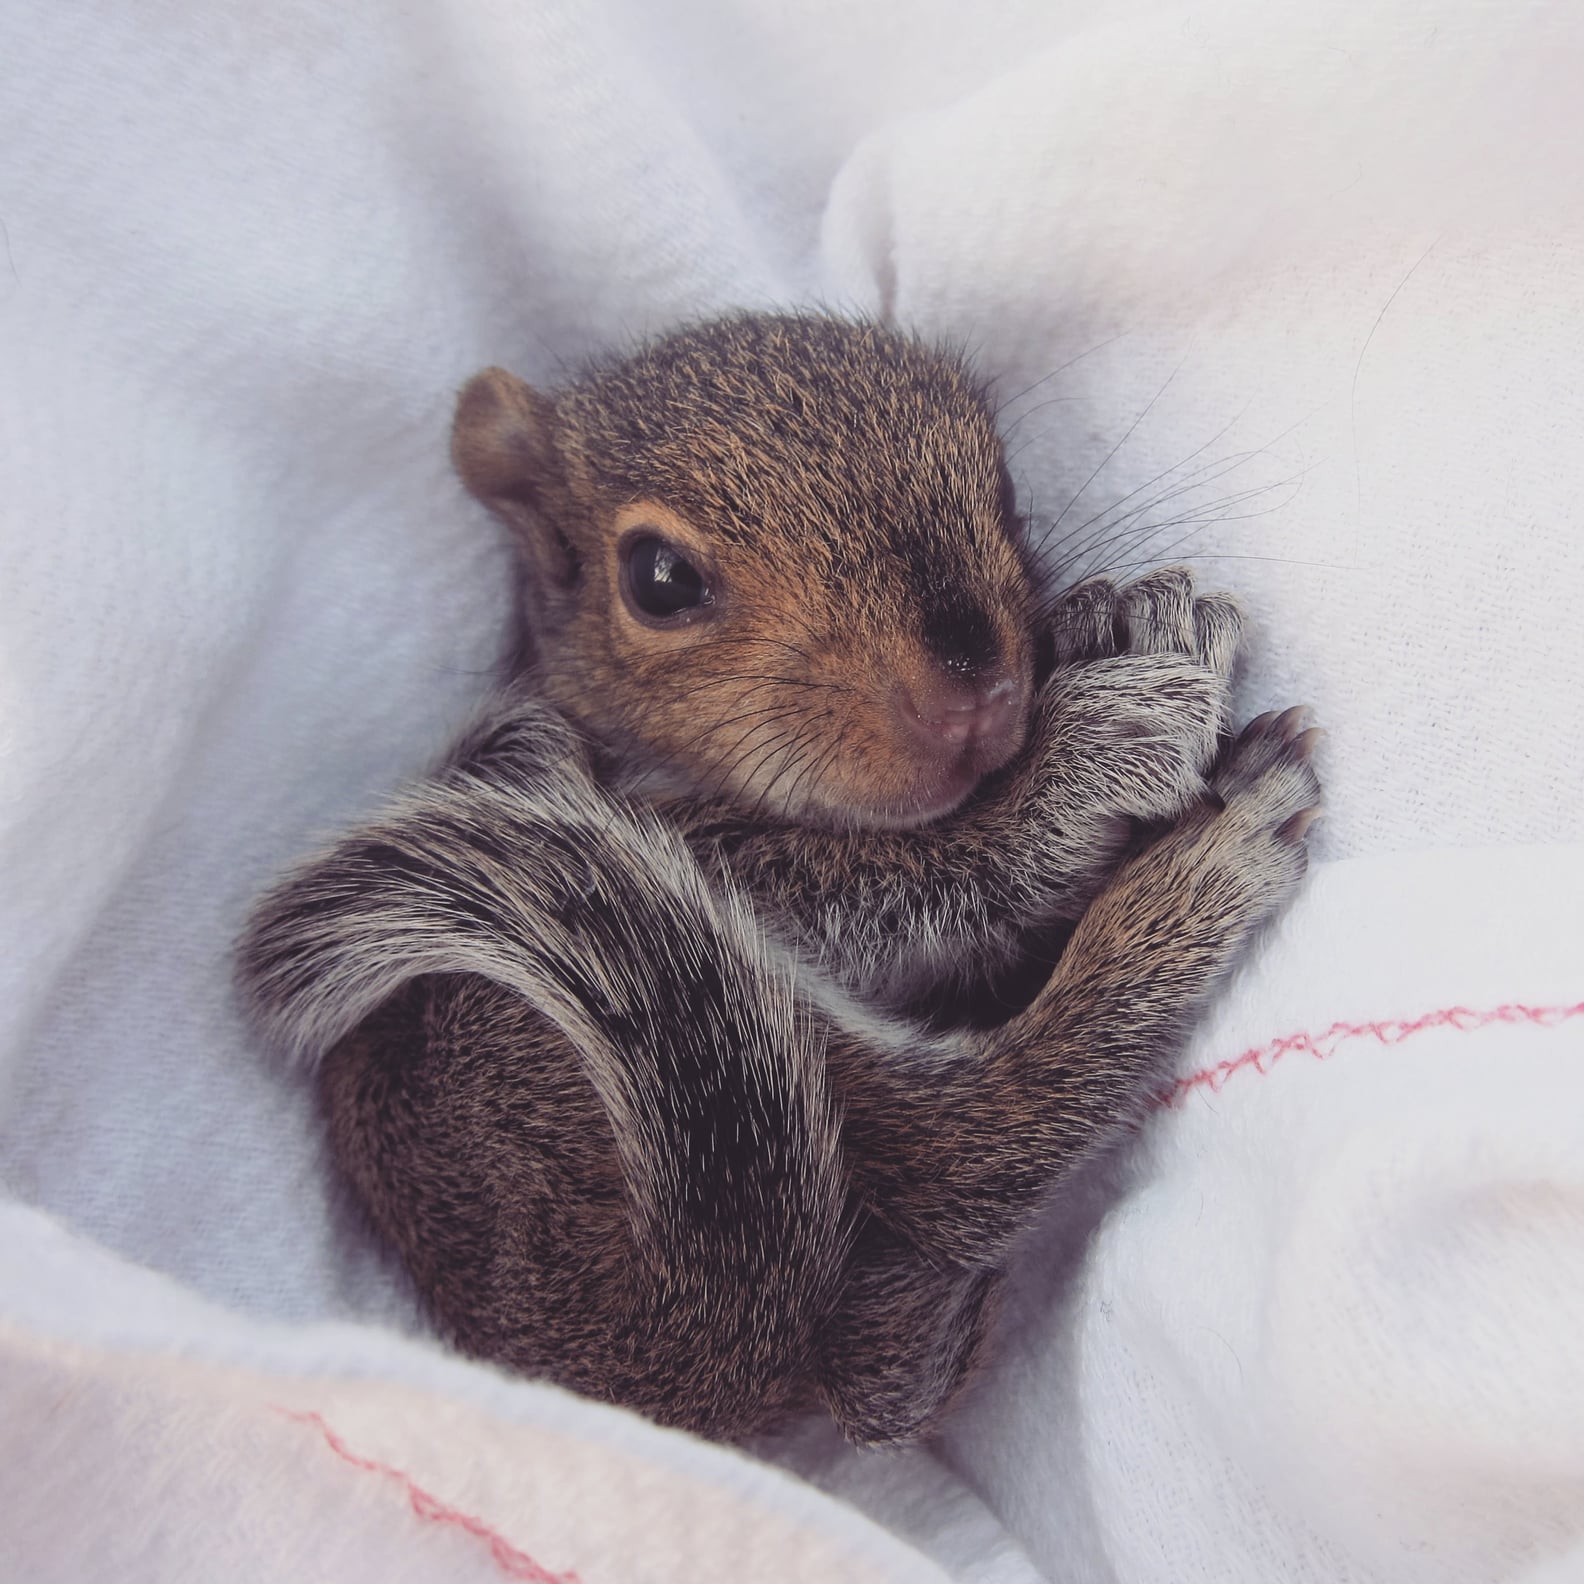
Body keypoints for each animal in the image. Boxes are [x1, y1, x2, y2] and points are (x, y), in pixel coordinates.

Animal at [238, 313, 1321, 1446]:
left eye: (1007, 488)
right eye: (658, 580)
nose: (975, 696)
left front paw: (1106, 632)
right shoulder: (669, 835)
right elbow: (923, 872)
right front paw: (1077, 761)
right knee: (974, 1143)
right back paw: (1206, 860)